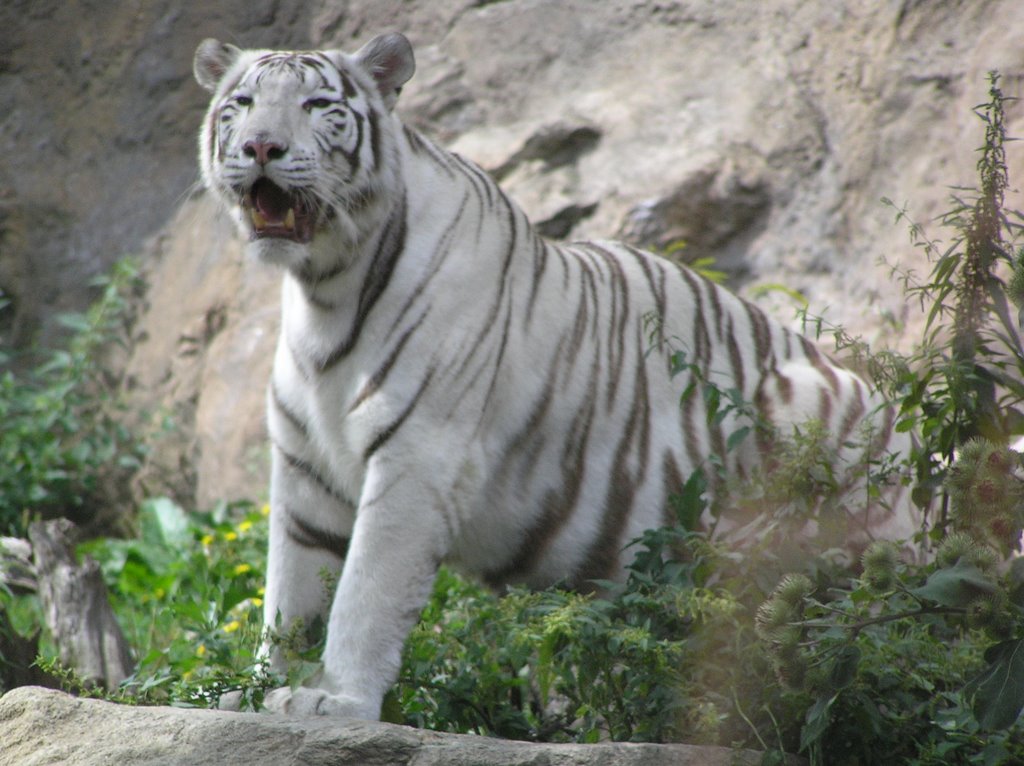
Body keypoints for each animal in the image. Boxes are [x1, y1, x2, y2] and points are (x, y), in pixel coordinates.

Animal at [192, 34, 921, 716]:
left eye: (318, 106)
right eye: (243, 104)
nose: (261, 146)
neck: (325, 286)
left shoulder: (418, 457)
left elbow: (365, 593)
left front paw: (336, 701)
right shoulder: (304, 467)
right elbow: (289, 594)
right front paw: (256, 691)